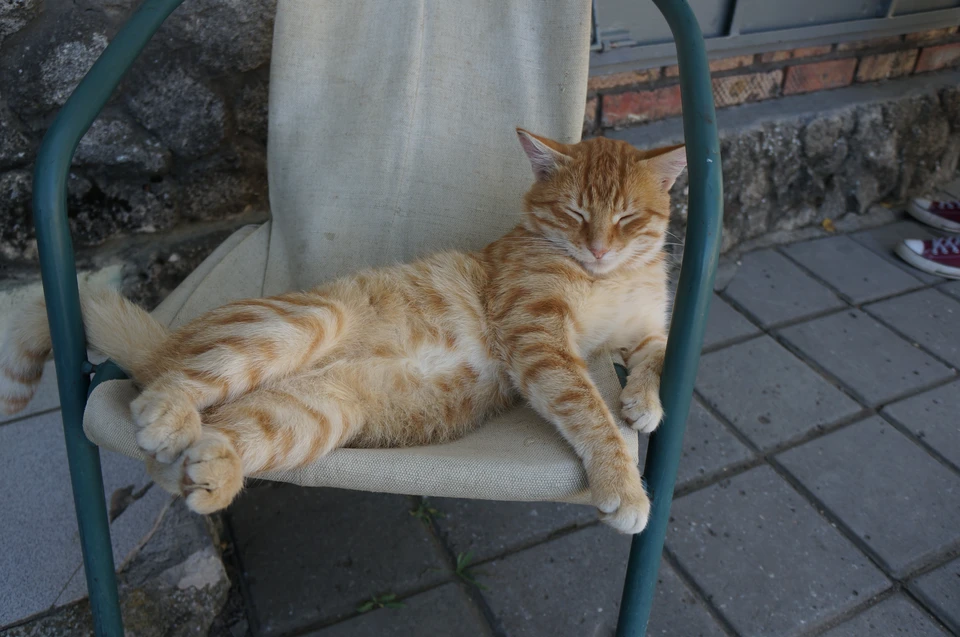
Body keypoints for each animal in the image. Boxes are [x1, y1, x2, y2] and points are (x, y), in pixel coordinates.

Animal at [0, 132, 684, 536]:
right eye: (574, 212)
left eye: (627, 217)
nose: (597, 248)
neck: (609, 278)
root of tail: (165, 338)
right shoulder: (539, 336)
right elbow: (587, 409)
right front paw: (624, 484)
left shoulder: (646, 328)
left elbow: (657, 354)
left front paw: (643, 403)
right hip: (300, 324)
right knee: (168, 388)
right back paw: (166, 415)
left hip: (317, 413)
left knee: (213, 438)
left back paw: (207, 472)